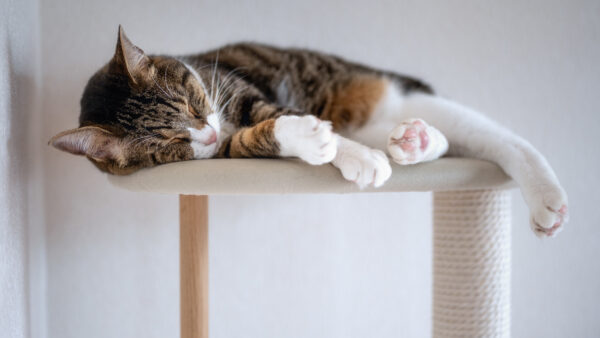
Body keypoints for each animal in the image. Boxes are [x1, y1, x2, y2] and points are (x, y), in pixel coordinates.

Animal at [50, 26, 568, 238]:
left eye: (194, 104)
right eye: (173, 143)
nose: (205, 135)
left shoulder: (239, 92)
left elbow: (272, 111)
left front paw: (346, 150)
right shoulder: (220, 154)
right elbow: (255, 137)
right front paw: (331, 148)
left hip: (387, 93)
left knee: (500, 138)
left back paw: (547, 199)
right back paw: (411, 142)